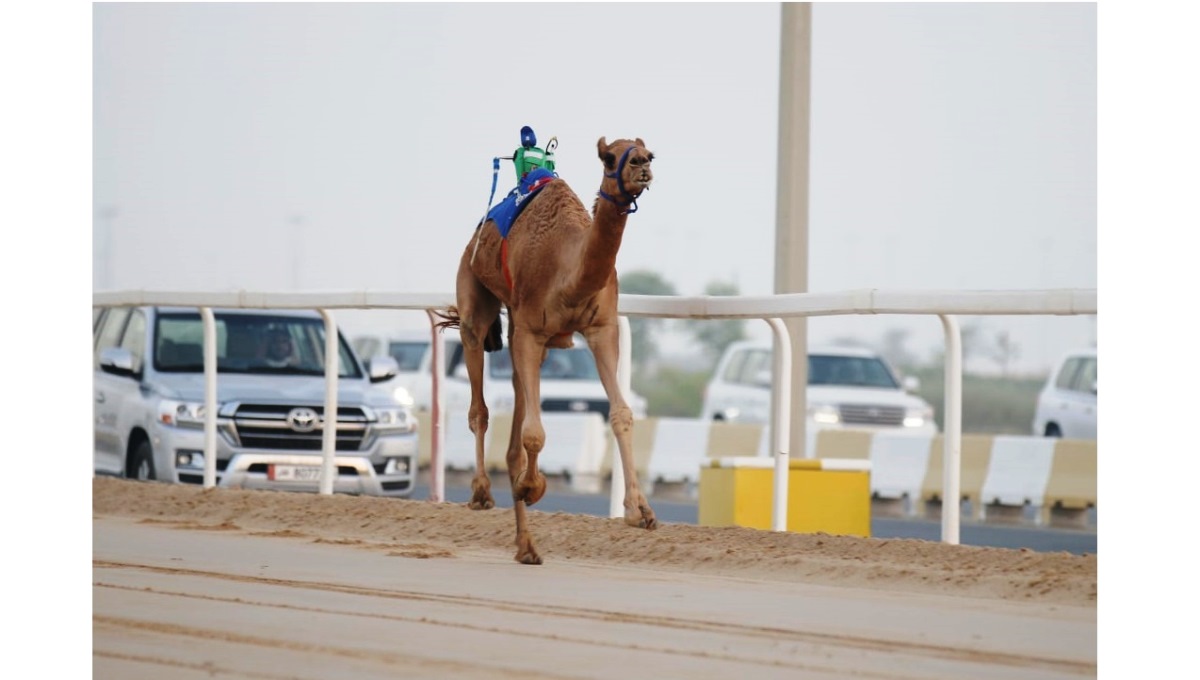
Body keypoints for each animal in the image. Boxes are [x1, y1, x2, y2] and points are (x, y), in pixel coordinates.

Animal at [436, 137, 657, 563]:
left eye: (649, 152)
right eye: (609, 158)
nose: (641, 164)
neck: (568, 272)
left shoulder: (600, 328)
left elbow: (621, 414)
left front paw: (640, 511)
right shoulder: (529, 329)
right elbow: (534, 433)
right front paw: (532, 487)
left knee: (512, 439)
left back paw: (527, 547)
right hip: (474, 297)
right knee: (479, 407)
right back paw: (482, 492)